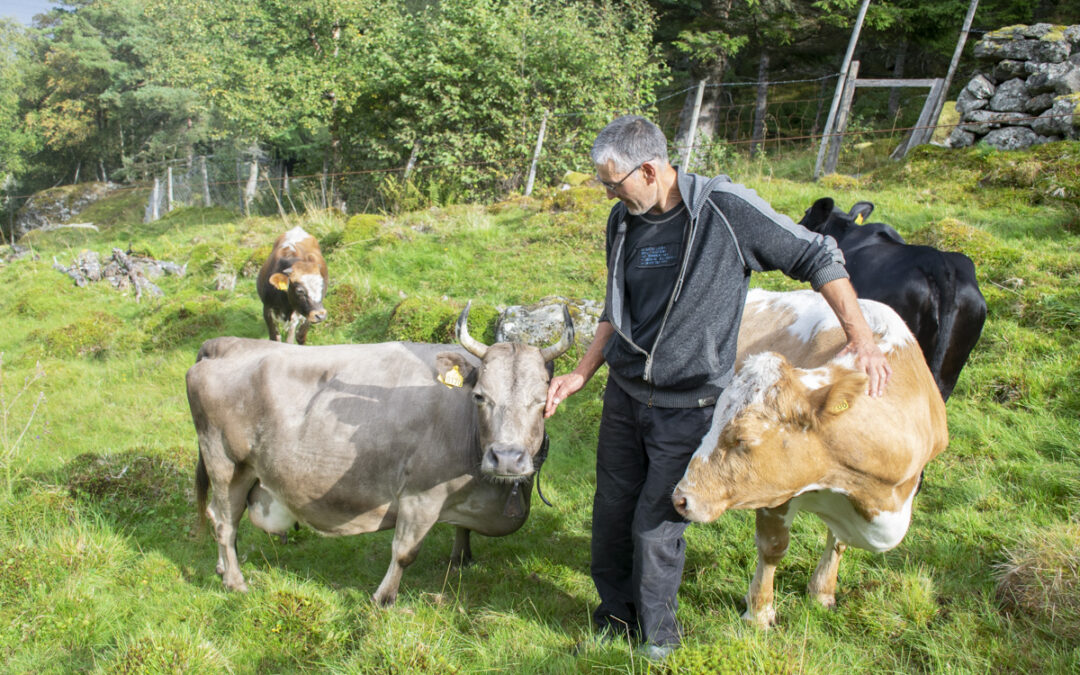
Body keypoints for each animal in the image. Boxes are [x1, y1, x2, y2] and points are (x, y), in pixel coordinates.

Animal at [187, 302, 573, 605]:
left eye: (542, 401)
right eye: (480, 396)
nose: (506, 458)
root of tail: (224, 344)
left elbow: (461, 530)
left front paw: (460, 559)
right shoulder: (419, 495)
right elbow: (404, 551)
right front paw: (383, 598)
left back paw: (222, 567)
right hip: (225, 462)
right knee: (223, 521)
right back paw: (235, 582)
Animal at [671, 289, 948, 628]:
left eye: (743, 438)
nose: (682, 498)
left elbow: (838, 541)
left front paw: (822, 592)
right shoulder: (777, 493)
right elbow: (773, 546)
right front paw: (759, 613)